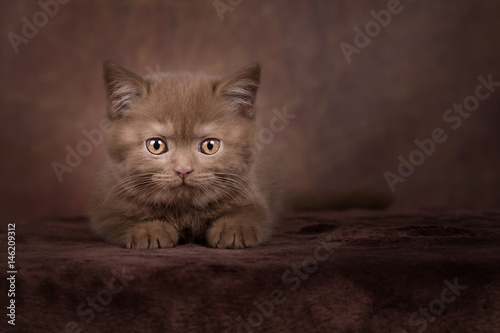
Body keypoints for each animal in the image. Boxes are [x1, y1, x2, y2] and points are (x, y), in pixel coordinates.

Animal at [89, 61, 282, 249]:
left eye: (210, 146)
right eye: (156, 146)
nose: (183, 170)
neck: (184, 212)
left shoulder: (255, 198)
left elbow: (251, 214)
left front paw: (235, 228)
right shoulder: (105, 209)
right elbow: (121, 220)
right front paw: (149, 230)